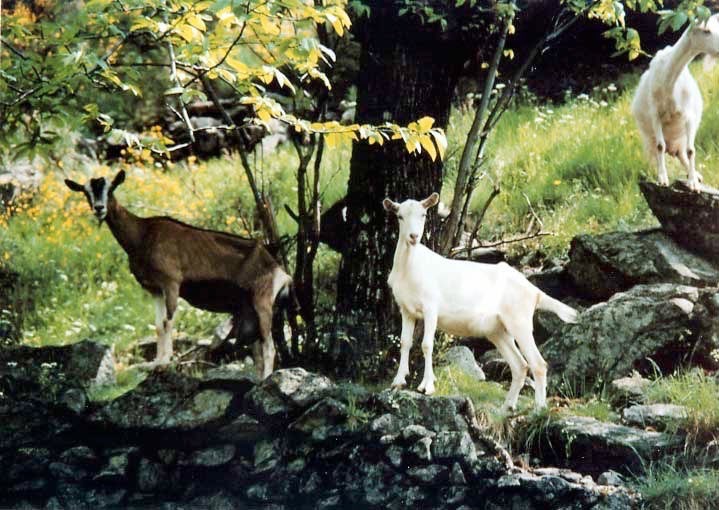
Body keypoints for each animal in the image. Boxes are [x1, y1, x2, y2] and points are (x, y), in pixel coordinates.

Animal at [65, 170, 292, 378]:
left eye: (111, 188)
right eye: (86, 192)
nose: (99, 208)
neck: (142, 235)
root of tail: (281, 272)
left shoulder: (171, 283)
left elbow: (168, 321)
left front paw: (165, 362)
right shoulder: (154, 289)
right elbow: (158, 325)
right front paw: (154, 363)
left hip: (263, 301)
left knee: (269, 347)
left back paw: (266, 379)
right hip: (249, 312)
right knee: (258, 351)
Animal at [383, 193, 578, 409]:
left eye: (424, 214)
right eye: (400, 216)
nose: (414, 236)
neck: (410, 268)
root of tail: (534, 292)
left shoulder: (430, 307)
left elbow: (426, 344)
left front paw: (427, 387)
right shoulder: (406, 310)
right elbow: (405, 342)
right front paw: (398, 382)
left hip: (520, 323)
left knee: (538, 364)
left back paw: (539, 409)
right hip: (498, 331)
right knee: (520, 365)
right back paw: (507, 407)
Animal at [632, 14, 719, 191]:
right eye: (706, 31)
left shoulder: (689, 115)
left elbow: (691, 150)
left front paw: (693, 182)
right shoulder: (655, 114)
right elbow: (660, 146)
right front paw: (662, 179)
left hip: (682, 137)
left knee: (682, 152)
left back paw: (696, 175)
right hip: (647, 138)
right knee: (657, 151)